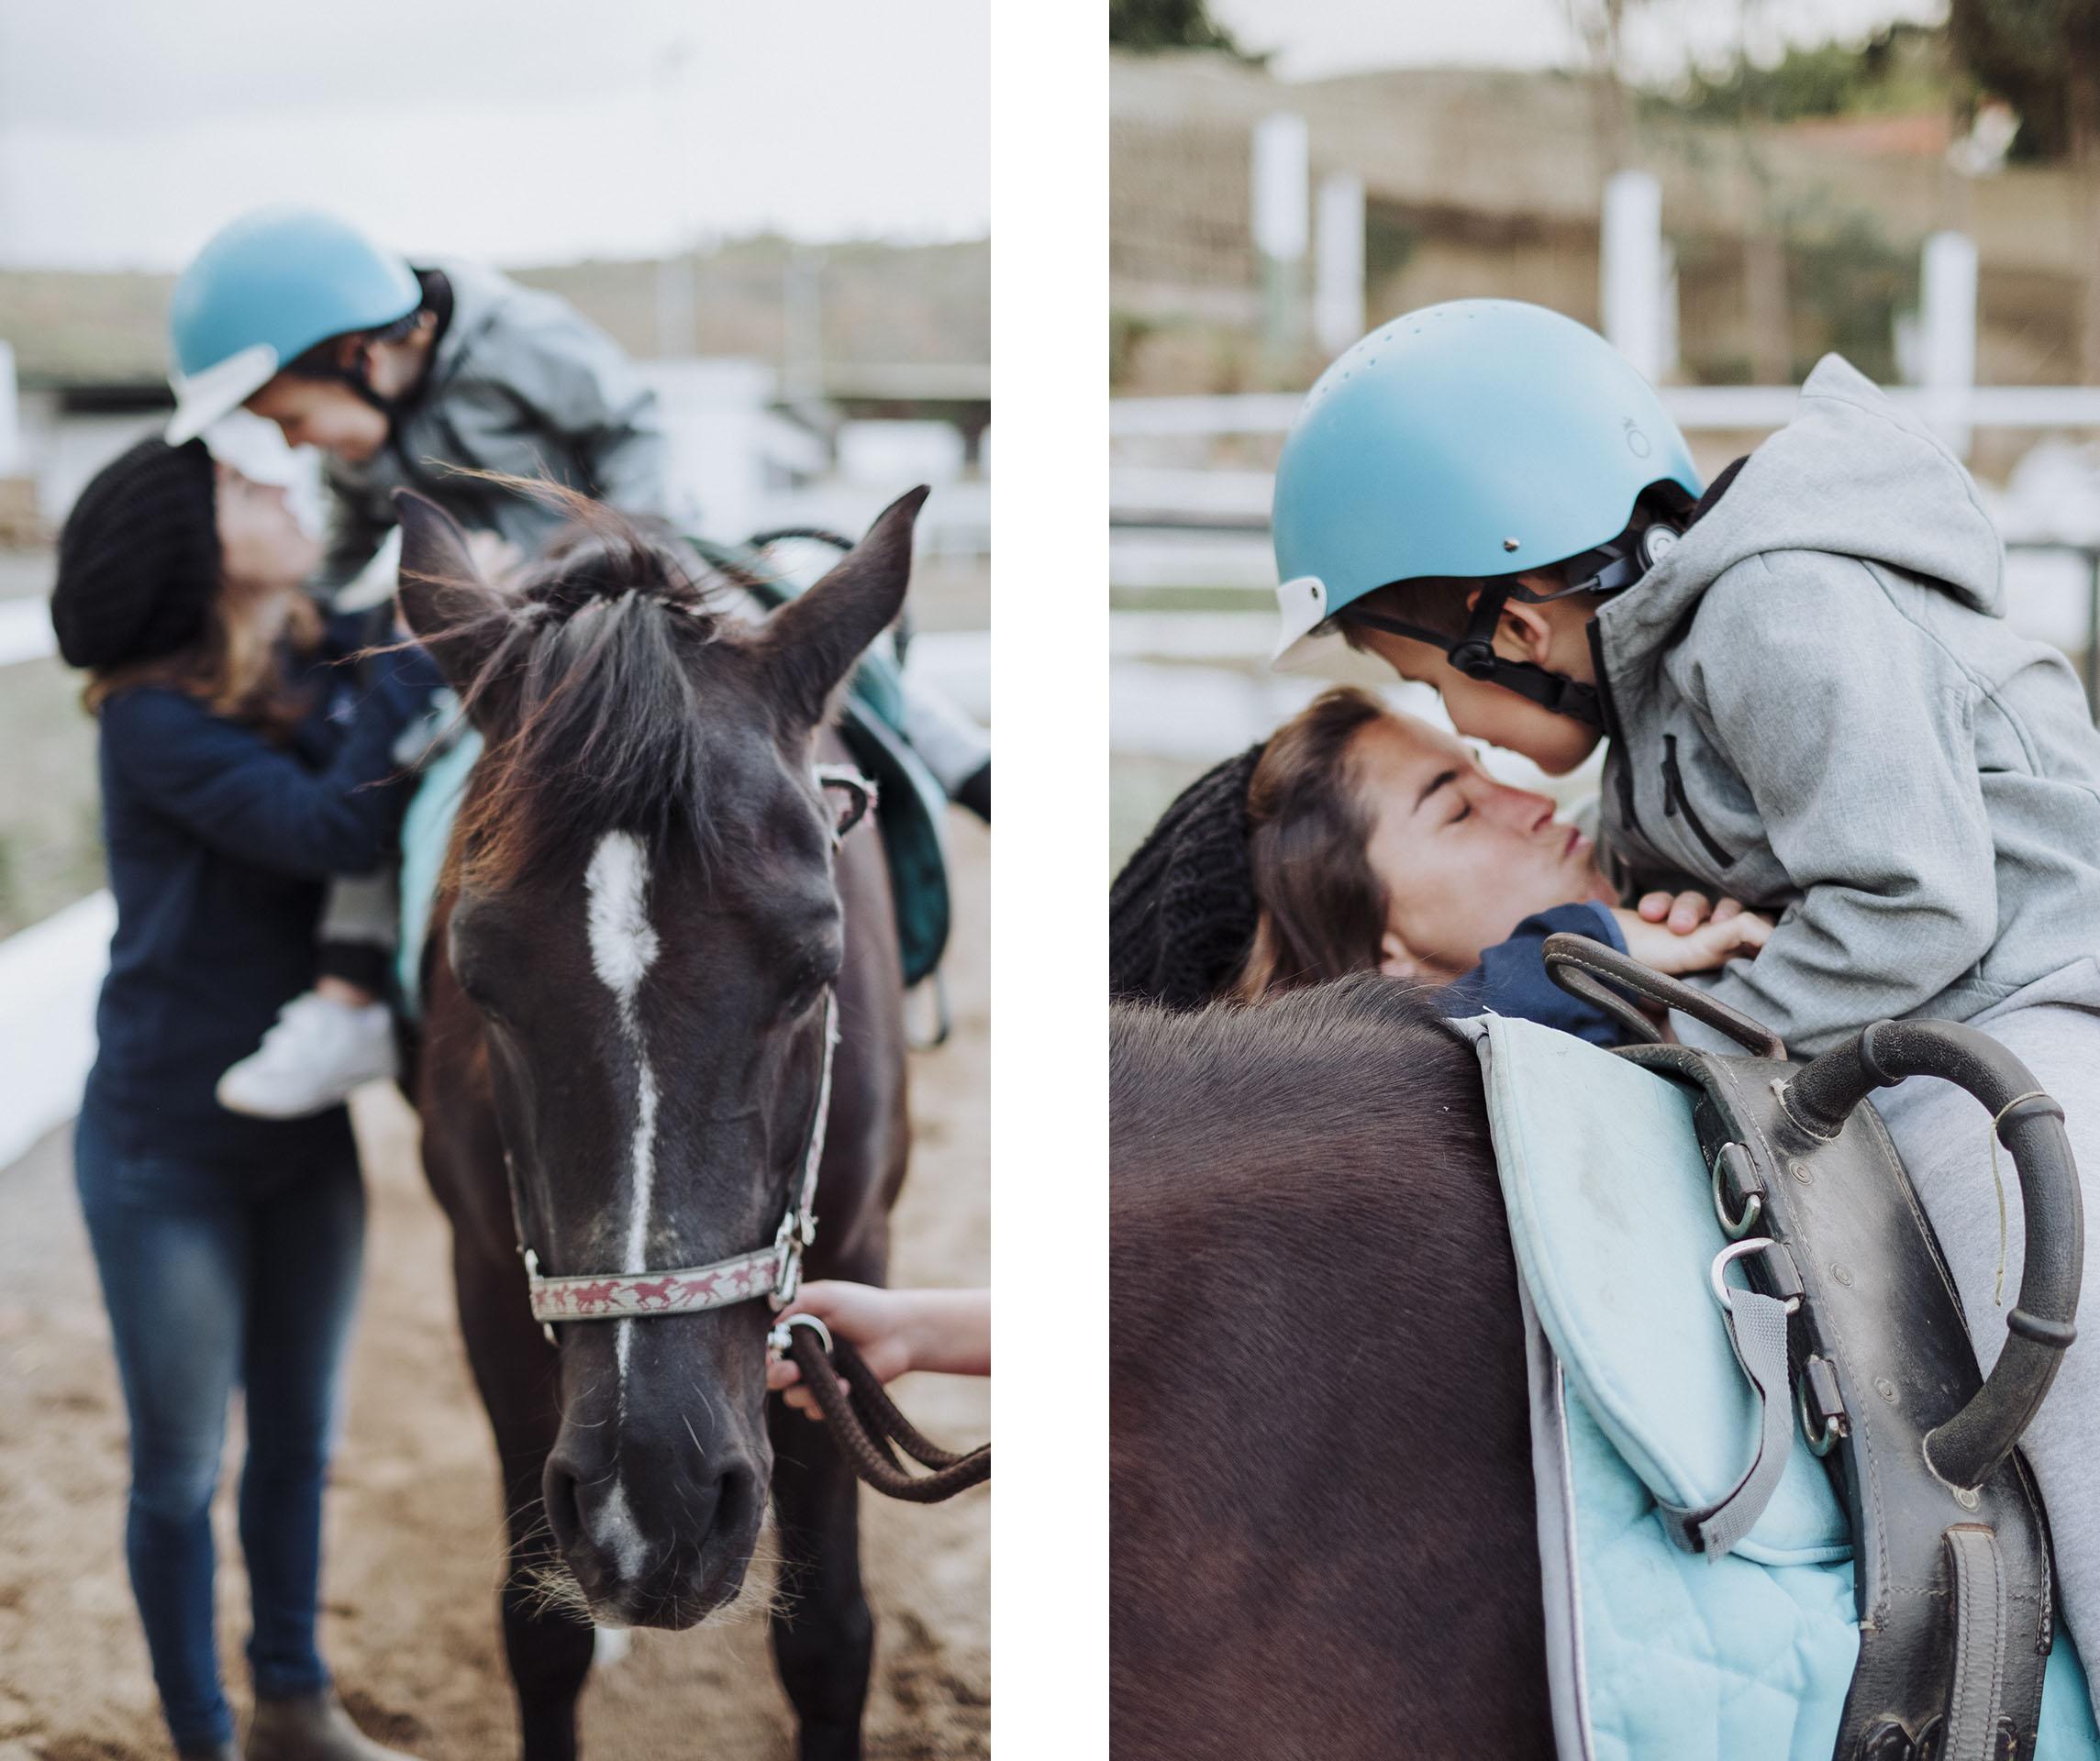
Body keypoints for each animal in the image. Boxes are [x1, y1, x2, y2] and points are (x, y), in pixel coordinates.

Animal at [394, 482, 919, 1761]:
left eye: (814, 967)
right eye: (477, 980)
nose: (657, 1511)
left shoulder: (852, 1265)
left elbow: (827, 1642)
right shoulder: (490, 1280)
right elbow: (541, 1635)